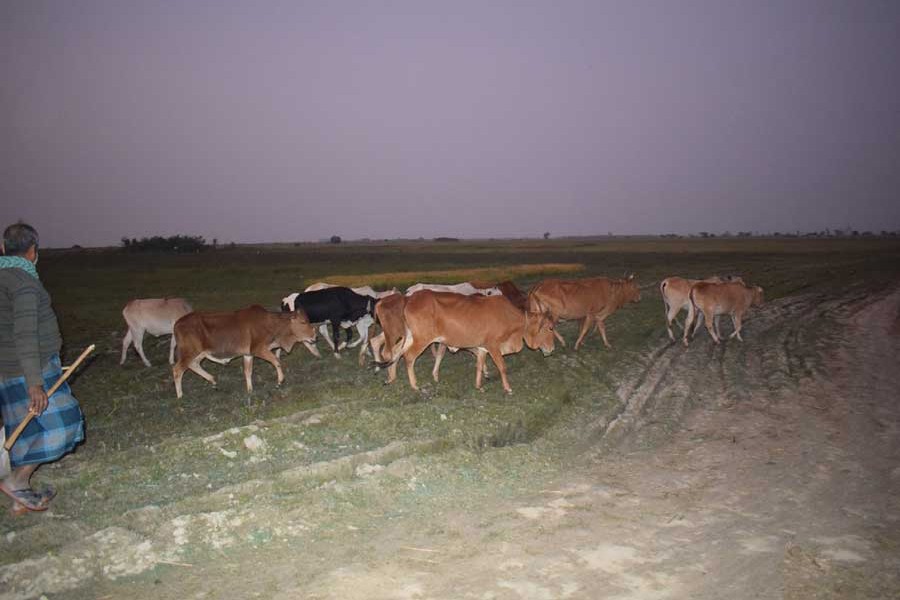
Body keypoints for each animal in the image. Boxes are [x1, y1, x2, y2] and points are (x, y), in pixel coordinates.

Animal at [171, 304, 316, 398]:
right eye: (303, 322)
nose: (314, 336)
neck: (271, 324)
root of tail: (177, 324)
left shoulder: (248, 354)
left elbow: (248, 372)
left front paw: (250, 390)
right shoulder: (257, 349)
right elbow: (276, 361)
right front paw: (280, 381)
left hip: (200, 353)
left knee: (193, 365)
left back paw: (213, 381)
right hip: (189, 351)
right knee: (178, 369)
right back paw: (180, 395)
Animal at [396, 290, 556, 394]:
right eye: (550, 328)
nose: (552, 349)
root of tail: (409, 300)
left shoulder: (483, 348)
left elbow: (479, 366)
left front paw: (479, 385)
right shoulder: (493, 346)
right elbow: (502, 367)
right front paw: (508, 388)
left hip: (410, 338)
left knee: (400, 354)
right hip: (422, 339)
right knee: (409, 357)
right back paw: (414, 385)